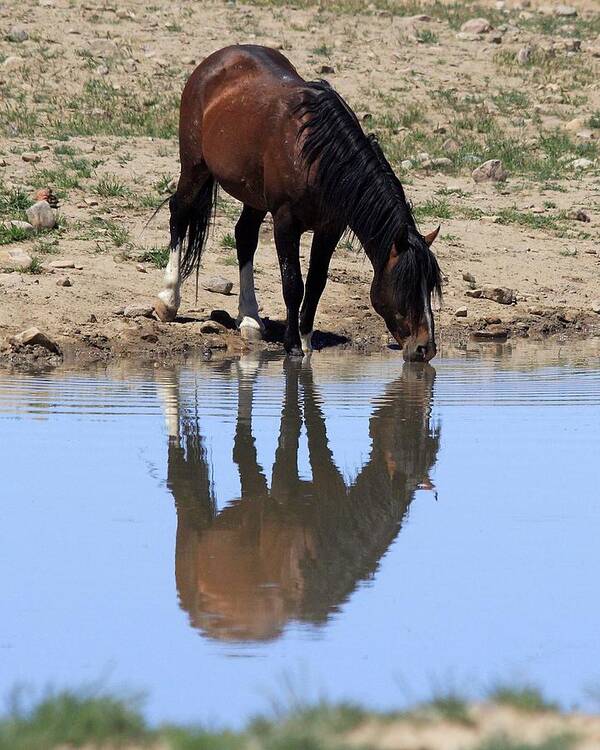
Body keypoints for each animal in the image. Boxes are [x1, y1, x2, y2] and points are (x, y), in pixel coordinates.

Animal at [157, 45, 442, 362]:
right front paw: (292, 345)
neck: (317, 156)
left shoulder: (330, 227)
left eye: (430, 288)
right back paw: (168, 301)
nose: (425, 348)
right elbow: (293, 284)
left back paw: (250, 319)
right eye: (406, 287)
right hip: (195, 166)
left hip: (254, 197)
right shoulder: (285, 222)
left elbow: (316, 283)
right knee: (179, 214)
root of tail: (216, 60)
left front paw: (306, 342)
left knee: (245, 236)